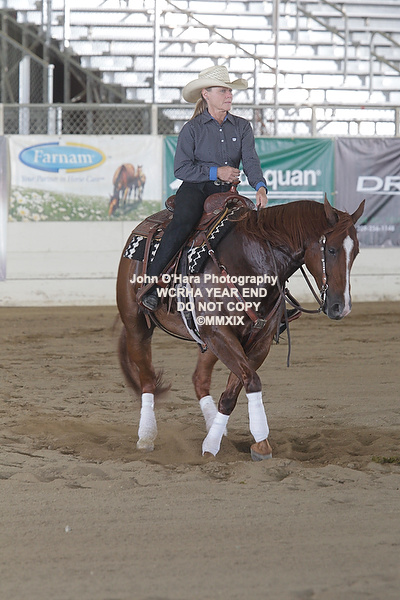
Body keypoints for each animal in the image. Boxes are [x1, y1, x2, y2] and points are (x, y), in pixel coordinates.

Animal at [116, 194, 365, 460]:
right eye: (331, 249)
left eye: (356, 252)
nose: (341, 307)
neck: (248, 263)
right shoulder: (219, 334)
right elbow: (252, 380)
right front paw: (250, 442)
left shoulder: (257, 342)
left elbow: (233, 392)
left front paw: (229, 443)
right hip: (137, 327)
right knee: (148, 380)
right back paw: (146, 435)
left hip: (208, 342)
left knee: (199, 380)